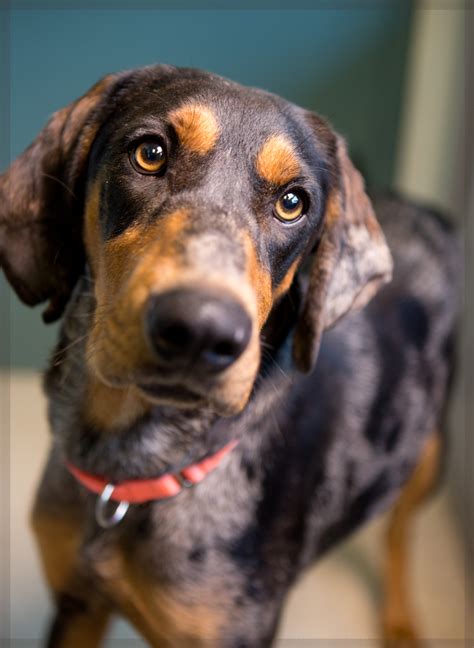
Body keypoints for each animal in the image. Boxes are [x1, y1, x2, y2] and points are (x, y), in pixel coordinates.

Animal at [0, 64, 460, 644]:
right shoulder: (75, 606)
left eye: (293, 202)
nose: (201, 331)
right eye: (149, 152)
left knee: (401, 530)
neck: (127, 470)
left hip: (431, 453)